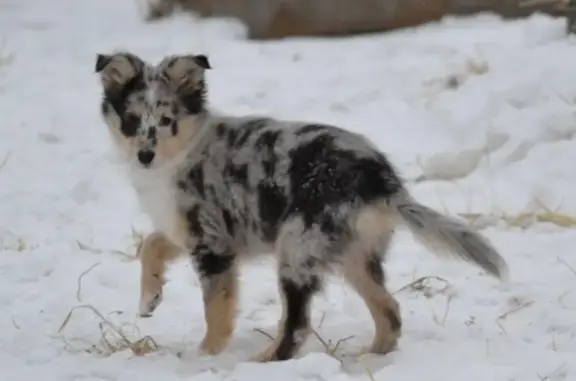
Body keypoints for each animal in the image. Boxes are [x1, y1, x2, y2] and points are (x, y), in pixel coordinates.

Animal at [94, 51, 508, 362]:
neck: (181, 152)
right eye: (131, 120)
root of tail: (380, 180)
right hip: (355, 255)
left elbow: (217, 306)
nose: (144, 156)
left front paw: (205, 356)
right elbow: (151, 244)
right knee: (389, 310)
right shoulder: (185, 229)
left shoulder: (212, 241)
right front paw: (149, 299)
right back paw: (369, 356)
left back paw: (266, 361)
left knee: (297, 323)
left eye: (167, 120)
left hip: (298, 247)